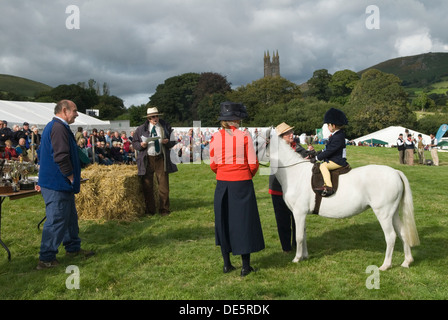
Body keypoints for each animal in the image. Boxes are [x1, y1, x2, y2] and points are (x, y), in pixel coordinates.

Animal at [260, 127, 420, 270]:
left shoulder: (299, 213)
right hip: (393, 213)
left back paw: (385, 265)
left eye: (257, 141)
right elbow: (303, 234)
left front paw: (297, 258)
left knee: (391, 236)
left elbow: (299, 236)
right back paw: (407, 261)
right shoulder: (301, 214)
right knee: (403, 233)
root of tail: (395, 172)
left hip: (384, 214)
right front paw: (305, 256)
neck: (295, 172)